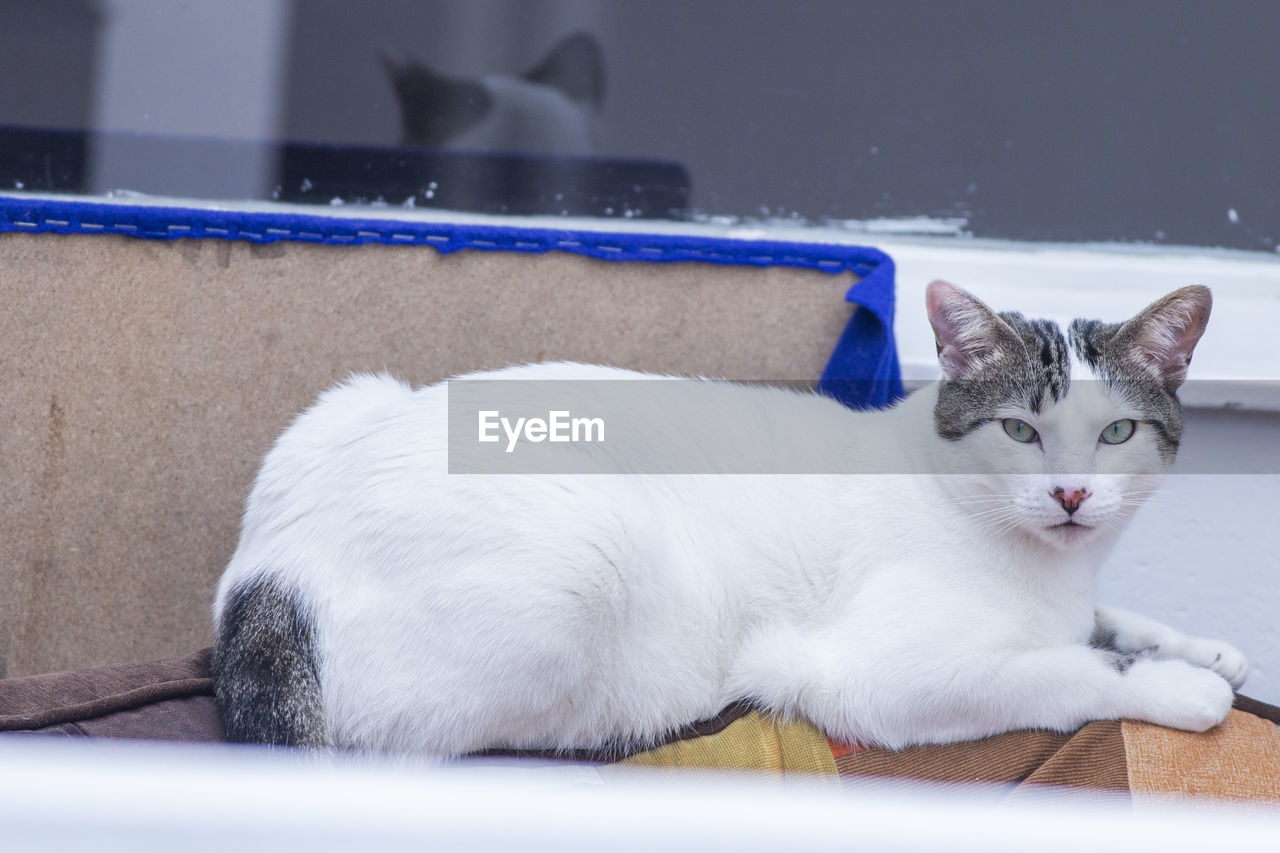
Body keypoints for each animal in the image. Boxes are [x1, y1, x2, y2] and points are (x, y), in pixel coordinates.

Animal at [212, 279, 1249, 753]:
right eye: (1020, 430)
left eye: (1116, 431)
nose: (1072, 494)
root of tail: (269, 574)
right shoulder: (882, 678)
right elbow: (1068, 668)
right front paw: (1180, 688)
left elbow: (1105, 622)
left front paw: (1204, 647)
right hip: (588, 561)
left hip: (342, 399)